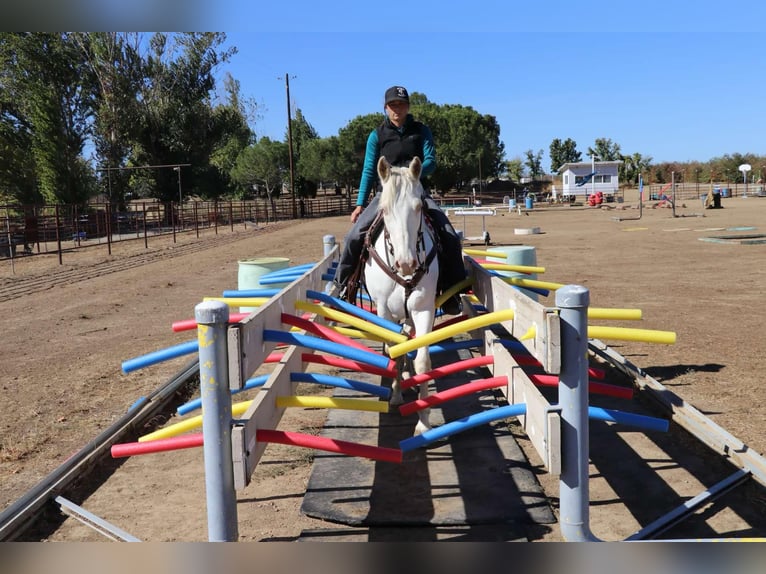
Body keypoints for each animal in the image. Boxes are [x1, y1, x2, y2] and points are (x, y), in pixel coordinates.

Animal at [364, 156, 438, 436]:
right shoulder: (384, 311)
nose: (406, 264)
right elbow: (394, 352)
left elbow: (423, 360)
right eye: (384, 210)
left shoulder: (423, 309)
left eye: (418, 207)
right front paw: (395, 396)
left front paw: (424, 421)